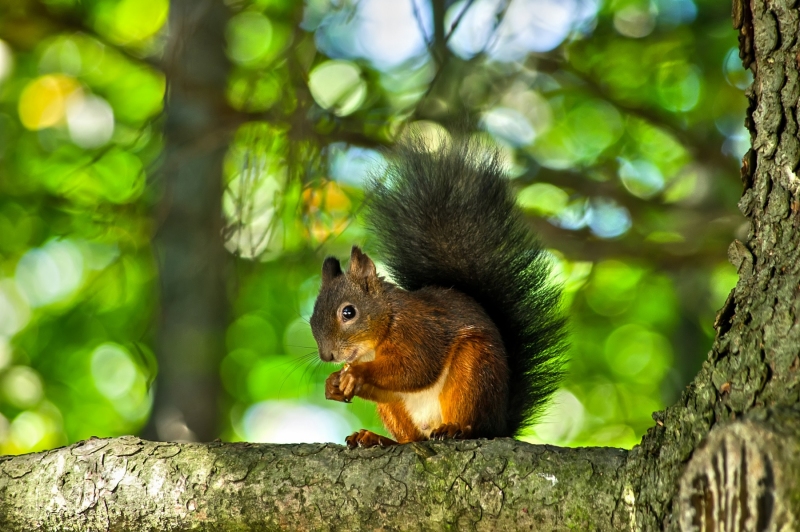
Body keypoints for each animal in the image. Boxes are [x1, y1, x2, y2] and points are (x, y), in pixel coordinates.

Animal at [309, 137, 567, 448]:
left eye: (349, 312)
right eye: (311, 320)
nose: (328, 356)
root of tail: (500, 424)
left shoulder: (419, 331)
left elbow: (415, 369)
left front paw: (355, 374)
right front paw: (334, 383)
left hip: (474, 371)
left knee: (474, 425)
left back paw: (457, 429)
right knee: (411, 439)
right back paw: (377, 438)